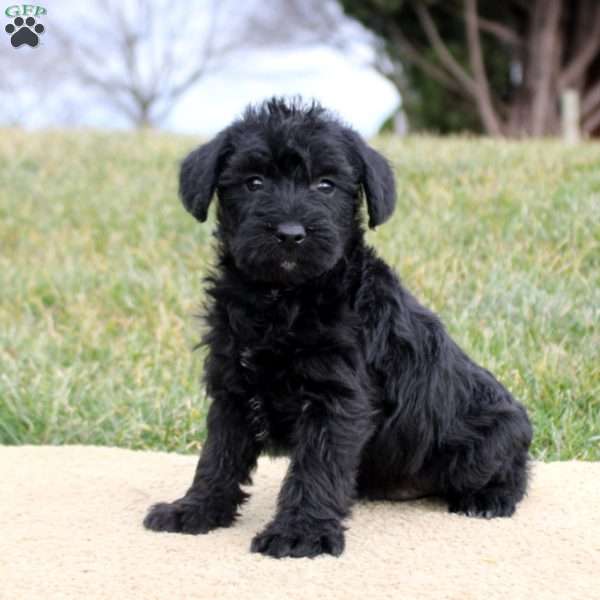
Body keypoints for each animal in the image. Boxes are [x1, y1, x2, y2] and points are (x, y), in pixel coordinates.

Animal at [143, 97, 532, 556]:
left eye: (325, 185)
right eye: (254, 182)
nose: (290, 234)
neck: (283, 299)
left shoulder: (336, 398)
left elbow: (315, 467)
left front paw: (299, 533)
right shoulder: (231, 391)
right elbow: (218, 458)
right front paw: (195, 509)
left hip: (488, 439)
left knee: (516, 471)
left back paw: (490, 499)